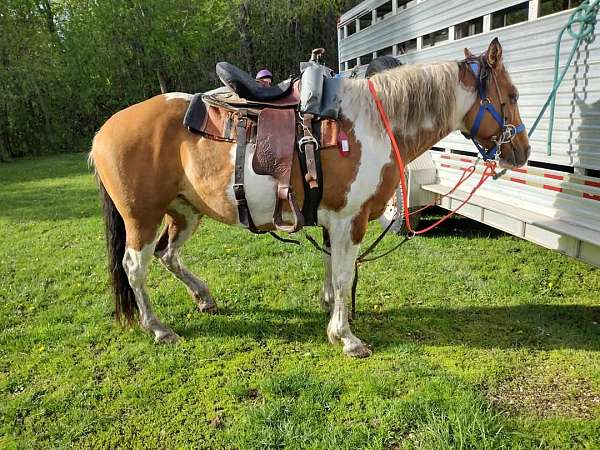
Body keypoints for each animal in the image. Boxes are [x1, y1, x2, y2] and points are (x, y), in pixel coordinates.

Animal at [90, 38, 528, 356]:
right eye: (512, 94)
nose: (521, 151)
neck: (374, 121)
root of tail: (104, 130)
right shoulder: (349, 219)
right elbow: (345, 273)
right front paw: (346, 336)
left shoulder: (332, 219)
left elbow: (332, 269)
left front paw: (329, 307)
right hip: (142, 218)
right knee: (135, 268)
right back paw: (158, 328)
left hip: (184, 212)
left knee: (168, 255)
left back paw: (203, 297)